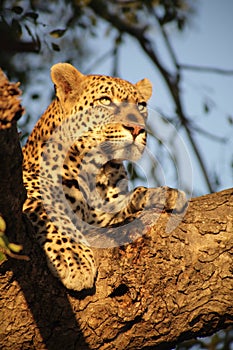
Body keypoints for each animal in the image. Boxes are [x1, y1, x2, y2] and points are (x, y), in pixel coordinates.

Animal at [21, 62, 186, 290]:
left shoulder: (100, 220)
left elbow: (129, 200)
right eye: (105, 101)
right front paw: (75, 259)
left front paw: (163, 194)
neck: (96, 171)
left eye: (141, 106)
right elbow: (55, 215)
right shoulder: (31, 195)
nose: (137, 128)